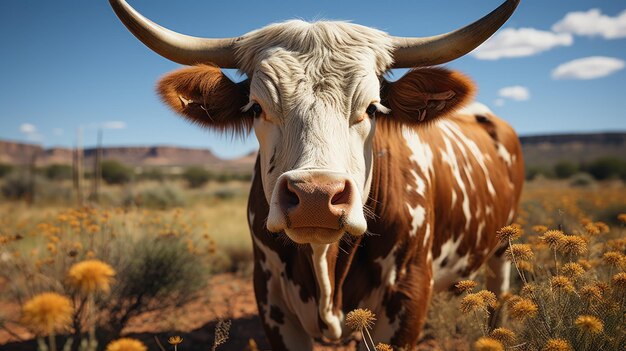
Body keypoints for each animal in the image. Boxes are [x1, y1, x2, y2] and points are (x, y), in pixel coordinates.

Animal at [111, 0, 520, 350]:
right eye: (257, 108)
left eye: (373, 108)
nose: (316, 197)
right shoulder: (272, 300)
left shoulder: (408, 294)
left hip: (503, 248)